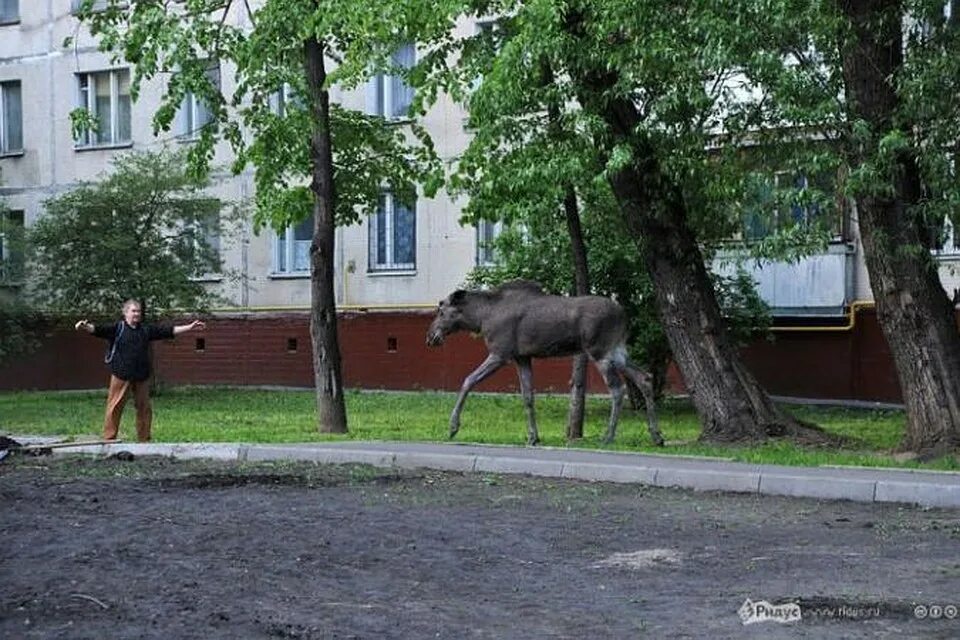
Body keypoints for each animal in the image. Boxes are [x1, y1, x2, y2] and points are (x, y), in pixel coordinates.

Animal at [428, 282, 660, 448]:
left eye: (441, 311)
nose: (430, 337)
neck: (480, 318)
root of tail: (625, 315)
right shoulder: (522, 357)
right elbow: (528, 396)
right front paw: (533, 437)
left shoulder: (500, 353)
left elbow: (468, 380)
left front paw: (453, 427)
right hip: (617, 350)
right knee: (645, 377)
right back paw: (657, 436)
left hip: (600, 351)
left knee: (618, 389)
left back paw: (608, 436)